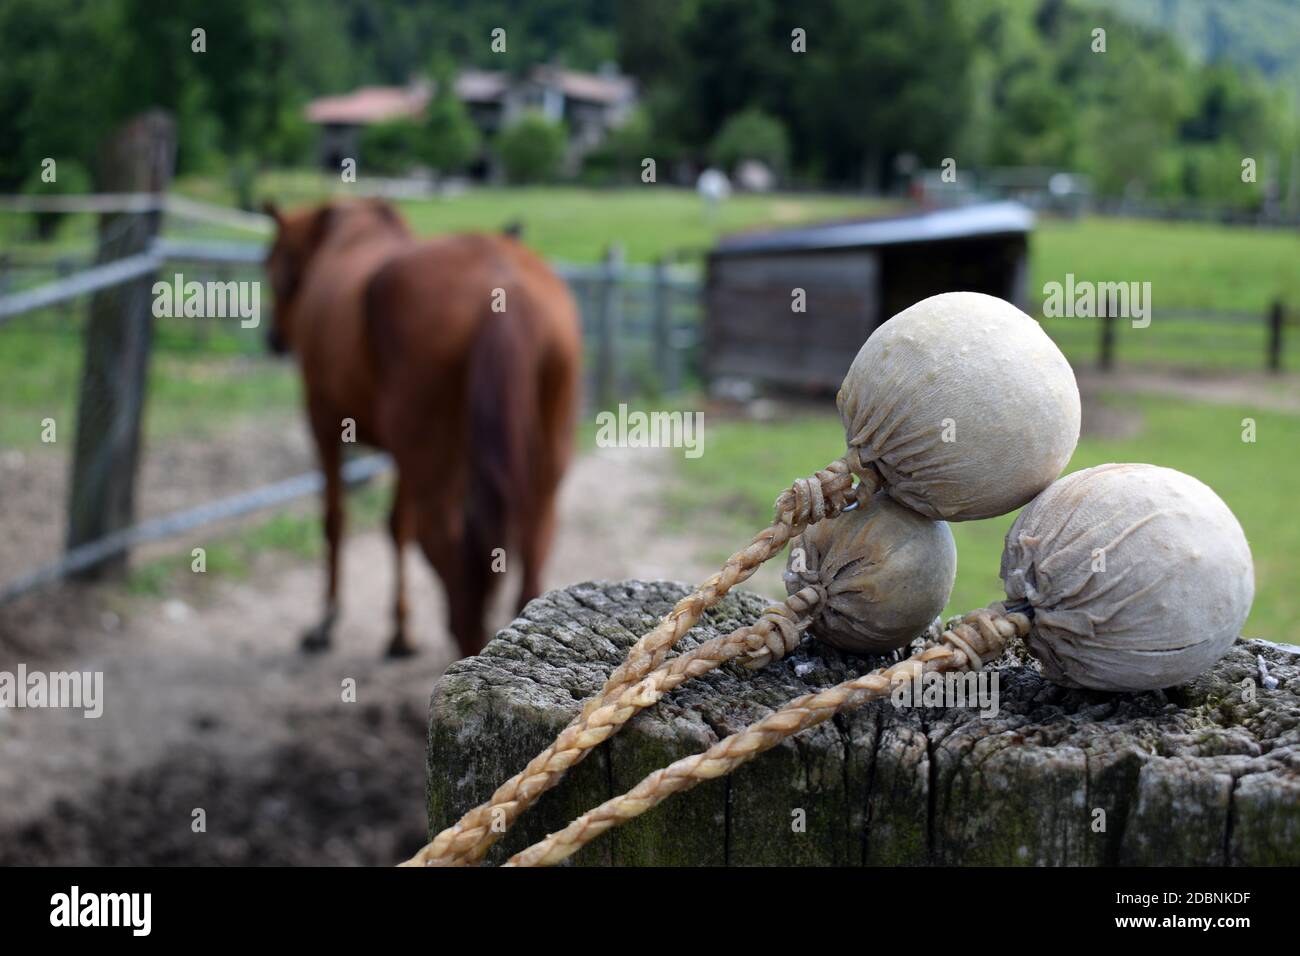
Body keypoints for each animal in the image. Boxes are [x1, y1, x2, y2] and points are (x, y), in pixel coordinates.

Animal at [262, 198, 582, 658]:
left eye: (272, 269)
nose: (272, 338)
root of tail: (505, 281)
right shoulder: (400, 455)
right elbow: (396, 525)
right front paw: (400, 630)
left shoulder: (322, 420)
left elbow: (335, 519)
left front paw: (326, 622)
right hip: (541, 469)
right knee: (531, 548)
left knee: (455, 572)